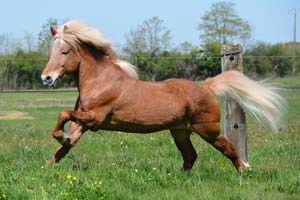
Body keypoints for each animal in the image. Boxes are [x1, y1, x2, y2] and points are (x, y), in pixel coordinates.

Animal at [41, 19, 284, 170]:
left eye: (65, 52)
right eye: (51, 51)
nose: (47, 78)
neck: (101, 81)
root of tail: (206, 87)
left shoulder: (95, 119)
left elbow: (63, 114)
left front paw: (60, 136)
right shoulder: (81, 123)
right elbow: (64, 148)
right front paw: (48, 167)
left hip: (208, 129)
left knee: (228, 148)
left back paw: (244, 169)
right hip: (180, 132)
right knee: (190, 156)